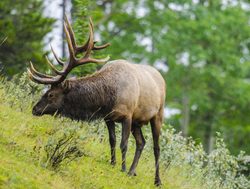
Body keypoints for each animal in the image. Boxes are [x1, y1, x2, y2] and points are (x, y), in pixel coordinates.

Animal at [27, 16, 165, 186]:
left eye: (51, 94)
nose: (35, 108)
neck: (108, 97)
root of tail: (161, 76)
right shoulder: (108, 117)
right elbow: (112, 140)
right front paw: (113, 164)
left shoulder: (127, 115)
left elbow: (123, 144)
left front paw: (122, 168)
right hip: (137, 121)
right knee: (141, 142)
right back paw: (132, 171)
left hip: (157, 115)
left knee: (156, 148)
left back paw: (157, 180)